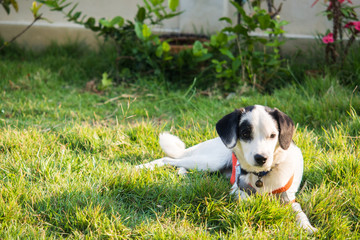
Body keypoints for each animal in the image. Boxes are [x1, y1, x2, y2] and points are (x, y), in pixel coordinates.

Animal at [137, 104, 318, 232]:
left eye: (273, 135)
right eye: (245, 134)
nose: (261, 158)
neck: (262, 175)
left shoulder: (288, 198)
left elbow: (298, 210)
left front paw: (307, 227)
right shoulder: (237, 190)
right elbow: (246, 199)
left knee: (181, 164)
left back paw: (183, 175)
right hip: (208, 161)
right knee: (169, 159)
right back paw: (142, 167)